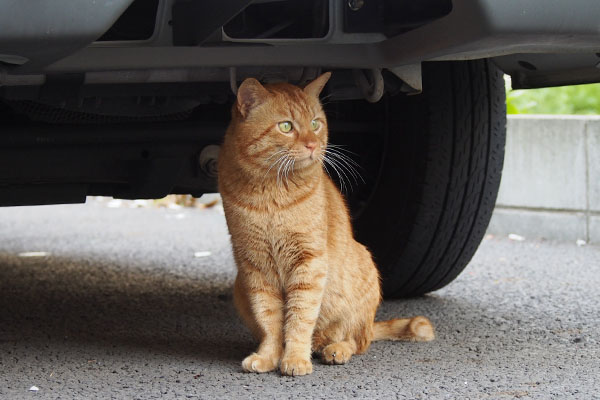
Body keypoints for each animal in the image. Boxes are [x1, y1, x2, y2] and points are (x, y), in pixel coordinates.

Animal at [218, 72, 434, 376]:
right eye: (286, 126)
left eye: (315, 124)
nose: (312, 145)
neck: (271, 193)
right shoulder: (256, 266)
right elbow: (270, 320)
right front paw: (269, 356)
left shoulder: (308, 261)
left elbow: (299, 318)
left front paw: (295, 359)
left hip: (361, 274)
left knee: (357, 340)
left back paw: (335, 349)